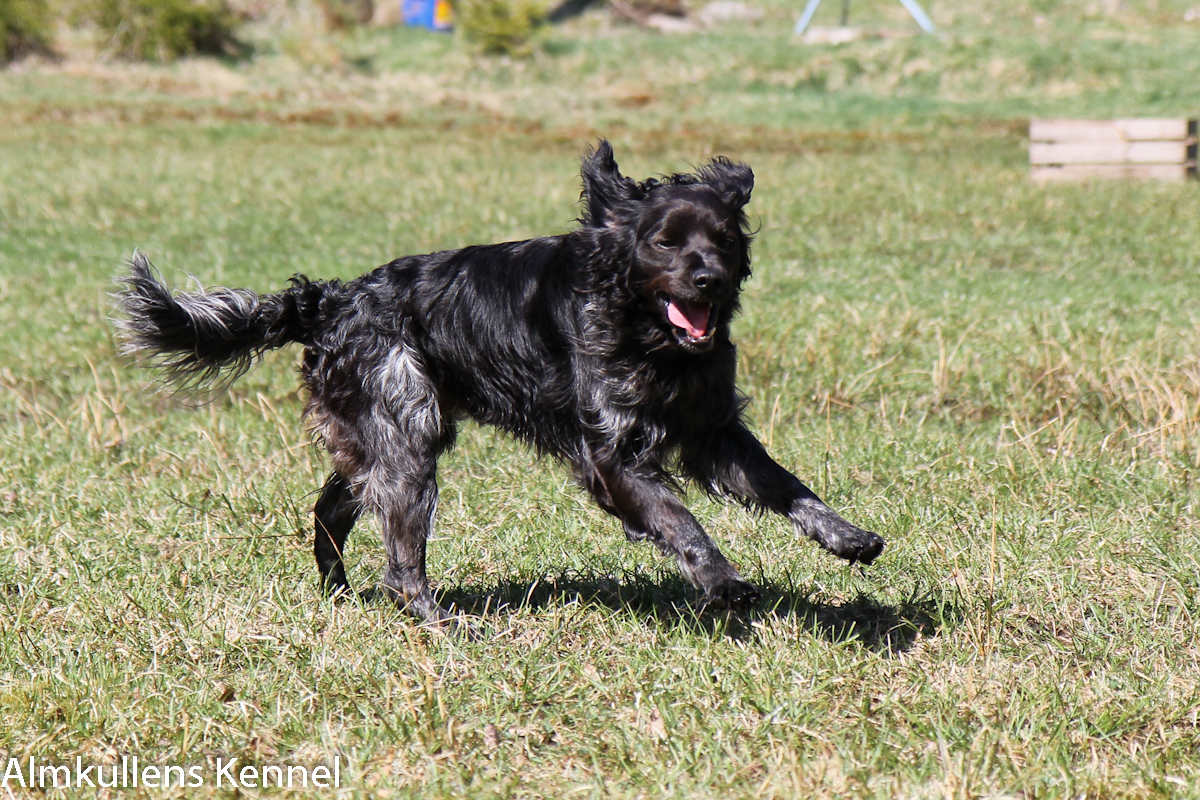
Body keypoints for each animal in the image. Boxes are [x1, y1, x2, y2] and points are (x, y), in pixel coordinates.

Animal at [117, 141, 884, 624]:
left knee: (332, 509)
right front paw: (722, 582)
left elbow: (789, 488)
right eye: (666, 240)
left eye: (722, 238)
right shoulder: (613, 455)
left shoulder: (713, 432)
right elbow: (681, 522)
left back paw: (339, 593)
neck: (646, 336)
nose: (710, 280)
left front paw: (848, 537)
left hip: (382, 436)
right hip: (409, 440)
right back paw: (437, 622)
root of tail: (333, 299)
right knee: (401, 558)